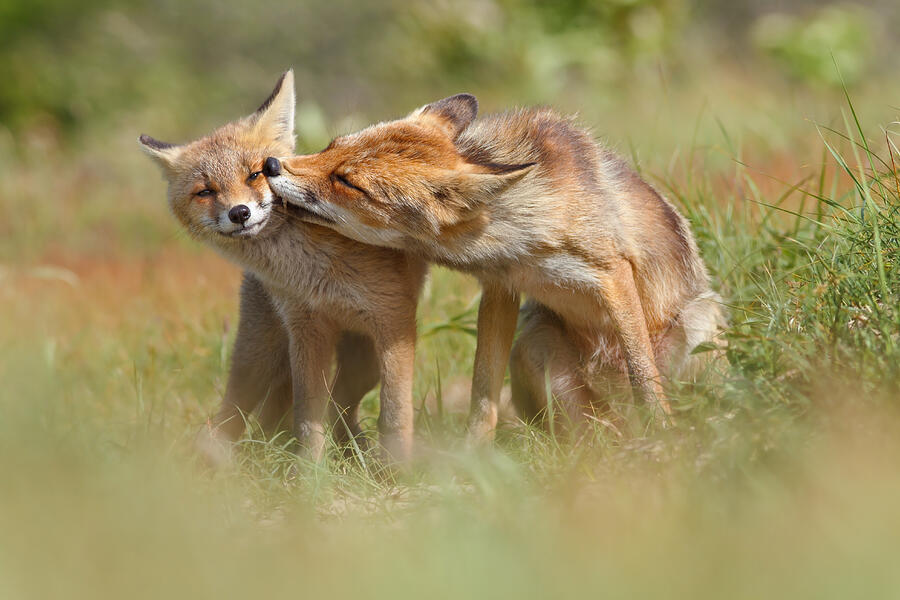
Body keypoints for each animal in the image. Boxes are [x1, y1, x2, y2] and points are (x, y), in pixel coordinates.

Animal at [139, 71, 428, 464]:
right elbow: (307, 418)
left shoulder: (392, 320)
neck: (313, 272)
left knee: (338, 408)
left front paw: (395, 468)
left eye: (255, 174)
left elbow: (395, 413)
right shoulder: (306, 329)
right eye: (205, 191)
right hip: (261, 355)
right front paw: (310, 473)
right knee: (234, 416)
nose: (239, 213)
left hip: (362, 360)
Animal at [262, 95, 724, 440]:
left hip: (701, 323)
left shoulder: (612, 273)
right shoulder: (501, 288)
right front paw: (474, 459)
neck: (522, 237)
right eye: (331, 146)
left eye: (348, 182)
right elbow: (483, 394)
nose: (270, 165)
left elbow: (644, 376)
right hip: (536, 345)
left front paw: (664, 436)